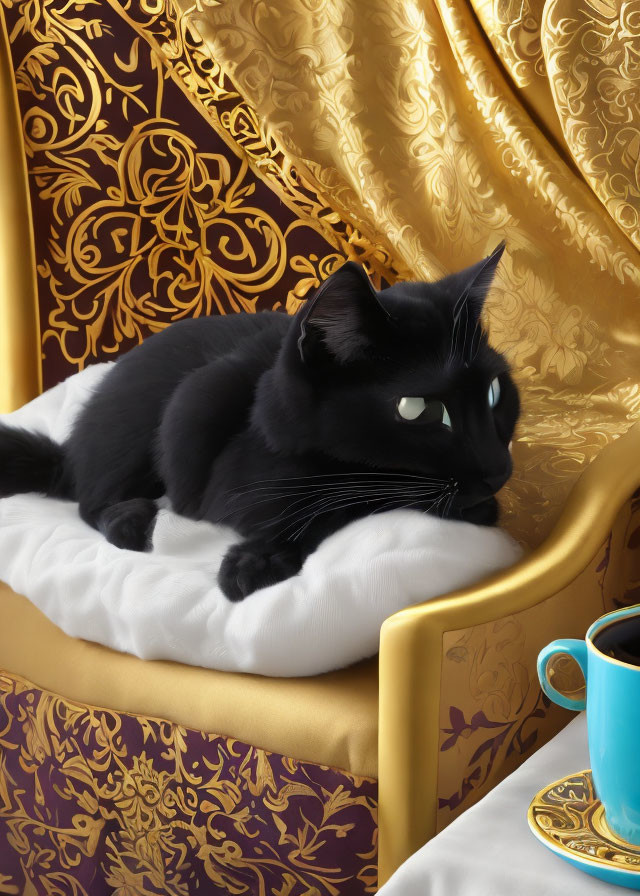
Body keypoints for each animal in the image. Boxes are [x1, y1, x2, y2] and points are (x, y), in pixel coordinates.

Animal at [0, 242, 520, 600]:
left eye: (495, 393)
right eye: (418, 410)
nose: (498, 469)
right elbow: (318, 506)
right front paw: (255, 561)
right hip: (141, 427)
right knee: (88, 500)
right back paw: (129, 520)